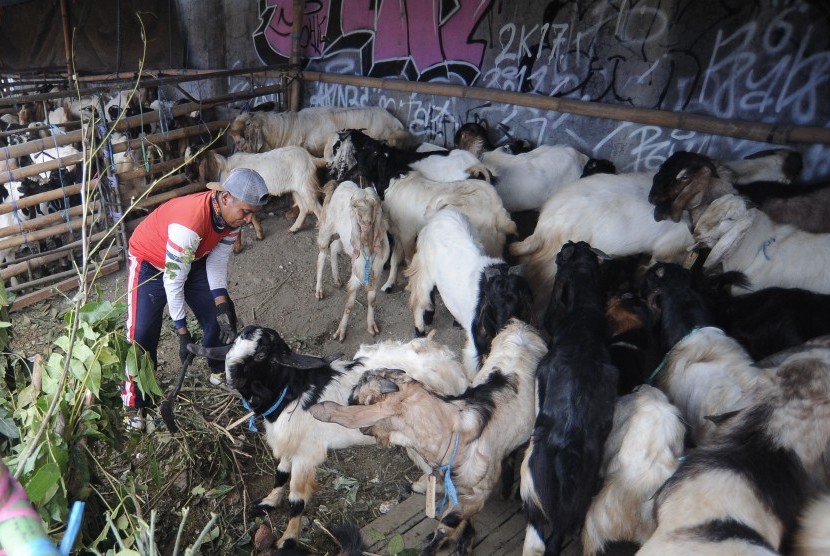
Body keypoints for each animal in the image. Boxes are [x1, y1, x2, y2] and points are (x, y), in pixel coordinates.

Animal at [197, 147, 326, 233]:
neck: (225, 169)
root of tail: (311, 158)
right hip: (296, 190)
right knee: (304, 208)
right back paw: (294, 228)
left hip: (306, 187)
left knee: (318, 209)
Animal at [316, 180, 392, 340]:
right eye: (356, 206)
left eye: (374, 205)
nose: (366, 223)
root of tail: (338, 185)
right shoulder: (356, 273)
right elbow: (350, 303)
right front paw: (340, 332)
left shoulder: (376, 272)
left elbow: (372, 300)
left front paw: (371, 326)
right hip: (327, 228)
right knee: (322, 254)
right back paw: (319, 290)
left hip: (346, 242)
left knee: (334, 246)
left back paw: (337, 279)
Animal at [406, 210, 536, 378]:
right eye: (491, 301)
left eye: (520, 300)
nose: (505, 327)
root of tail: (442, 213)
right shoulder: (475, 346)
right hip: (425, 268)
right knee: (420, 297)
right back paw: (420, 330)